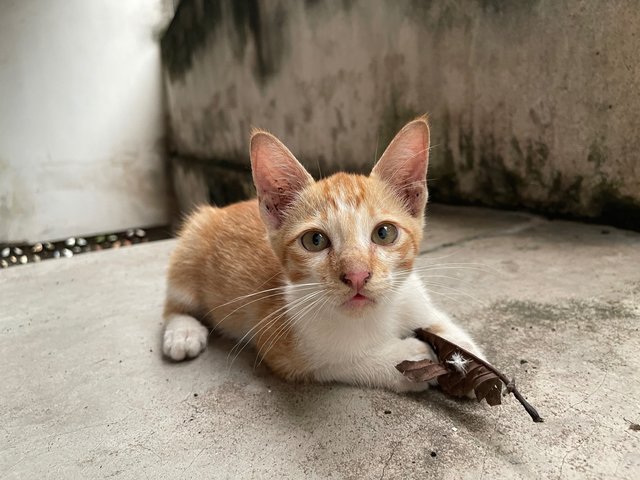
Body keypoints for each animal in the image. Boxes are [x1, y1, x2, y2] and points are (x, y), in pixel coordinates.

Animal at [162, 118, 482, 392]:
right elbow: (341, 358)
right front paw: (408, 356)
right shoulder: (282, 342)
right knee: (173, 304)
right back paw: (183, 332)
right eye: (314, 241)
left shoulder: (412, 295)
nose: (357, 275)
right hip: (191, 243)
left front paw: (466, 355)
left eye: (384, 233)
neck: (376, 315)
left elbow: (440, 322)